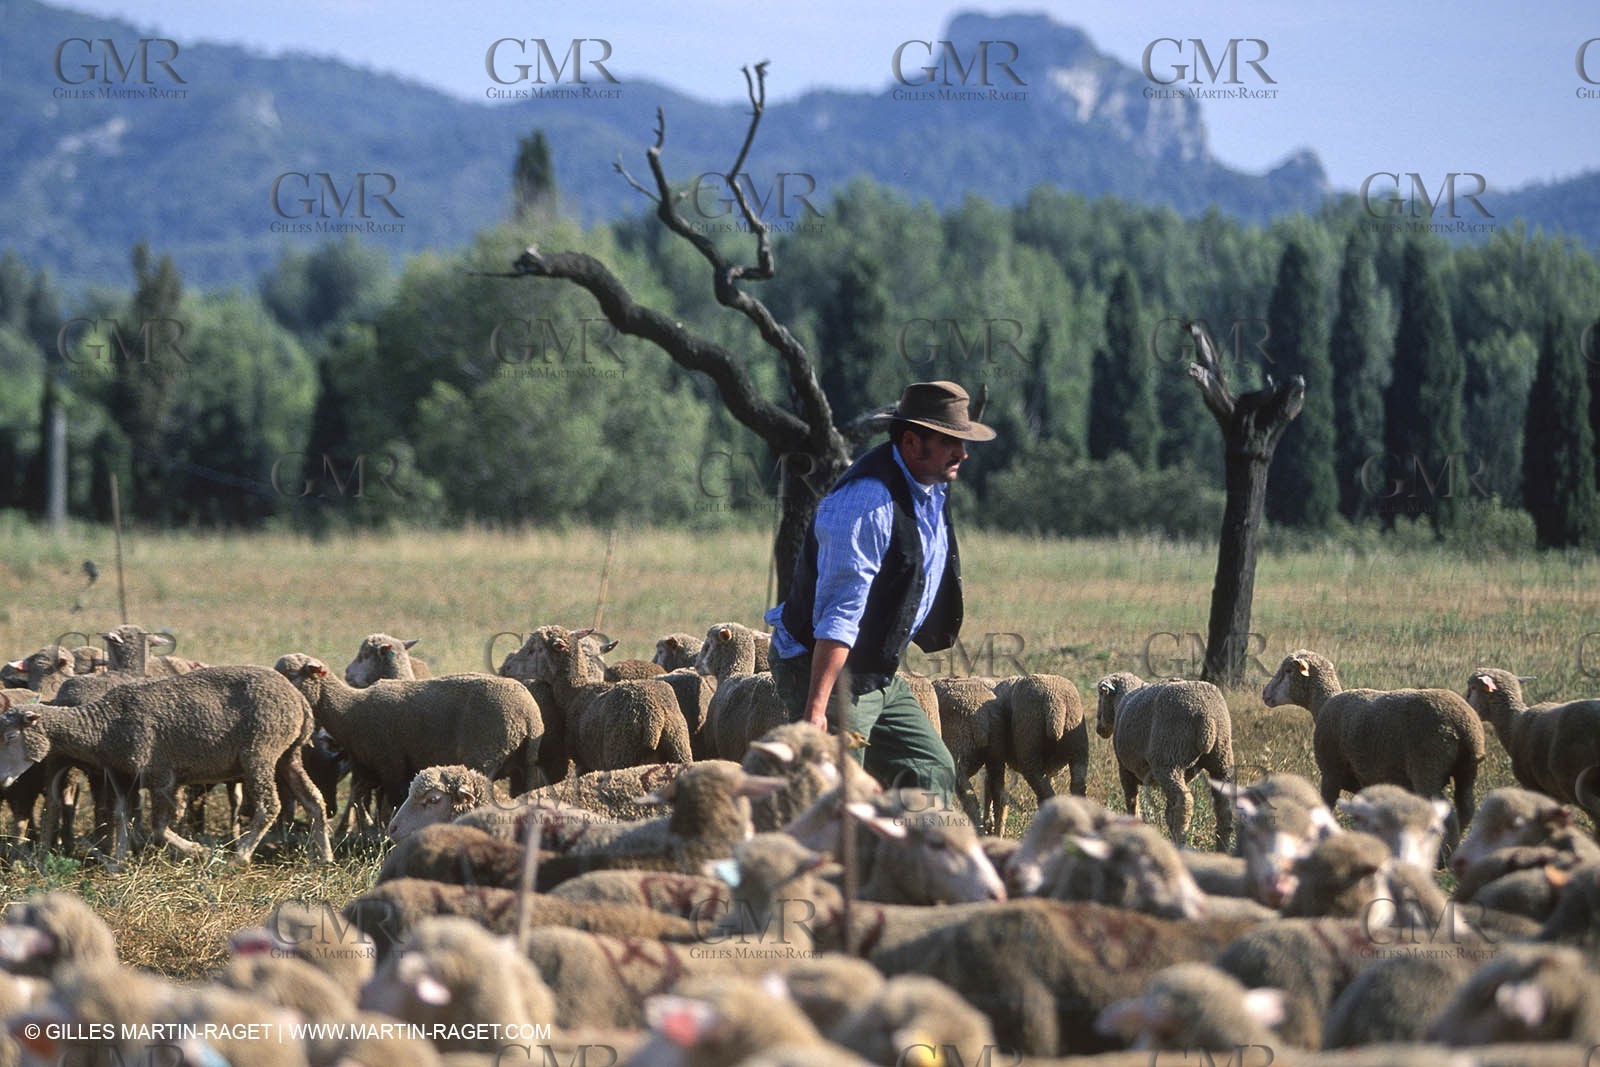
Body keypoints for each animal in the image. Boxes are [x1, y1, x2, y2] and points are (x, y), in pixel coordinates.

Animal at [0, 666, 331, 865]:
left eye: (10, 736)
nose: (3, 780)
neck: (105, 726)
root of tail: (299, 701)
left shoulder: (161, 776)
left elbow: (159, 828)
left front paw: (198, 850)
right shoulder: (124, 777)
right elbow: (121, 816)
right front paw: (118, 861)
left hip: (260, 751)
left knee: (269, 805)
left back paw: (240, 855)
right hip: (288, 755)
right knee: (315, 799)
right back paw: (323, 856)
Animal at [274, 653, 546, 818]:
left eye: (292, 675)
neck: (350, 710)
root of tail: (528, 715)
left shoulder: (391, 764)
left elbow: (392, 804)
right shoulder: (367, 768)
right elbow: (364, 804)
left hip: (485, 754)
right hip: (527, 763)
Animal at [503, 626, 691, 775]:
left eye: (535, 649)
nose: (507, 667)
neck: (575, 692)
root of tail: (655, 717)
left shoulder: (582, 763)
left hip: (621, 753)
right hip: (680, 749)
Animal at [1095, 672, 1236, 850]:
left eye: (1101, 695)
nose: (1099, 729)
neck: (1122, 699)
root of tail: (1207, 717)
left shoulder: (1125, 769)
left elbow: (1132, 800)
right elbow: (1169, 812)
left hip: (1168, 761)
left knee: (1184, 802)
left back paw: (1180, 841)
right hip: (1221, 760)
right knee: (1224, 807)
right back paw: (1222, 847)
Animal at [1261, 650, 1484, 847]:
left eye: (1288, 670)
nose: (1264, 693)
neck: (1324, 703)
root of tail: (1462, 725)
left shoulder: (1330, 773)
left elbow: (1326, 808)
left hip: (1427, 769)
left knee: (1447, 814)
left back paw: (1443, 854)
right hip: (1467, 769)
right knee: (1466, 807)